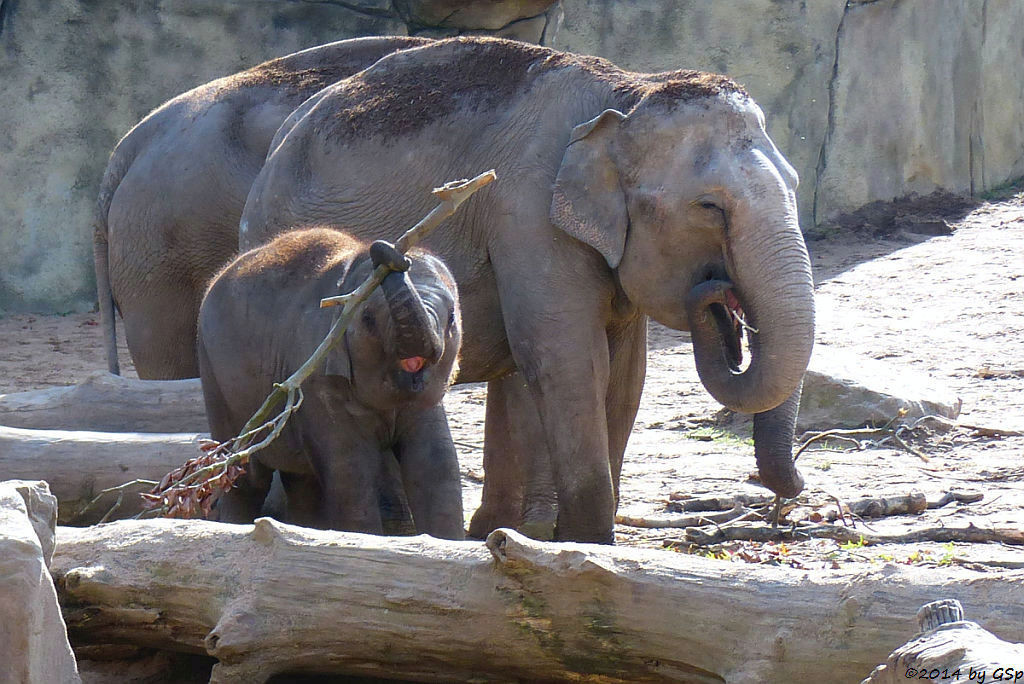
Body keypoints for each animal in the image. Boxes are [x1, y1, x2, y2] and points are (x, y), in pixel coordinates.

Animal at [196, 229, 468, 540]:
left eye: (451, 318)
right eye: (368, 319)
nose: (389, 252)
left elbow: (436, 463)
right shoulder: (317, 379)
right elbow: (350, 473)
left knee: (301, 481)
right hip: (215, 378)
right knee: (245, 475)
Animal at [239, 37, 815, 540]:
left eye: (795, 185)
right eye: (709, 207)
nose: (719, 294)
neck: (628, 92)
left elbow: (626, 377)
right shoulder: (528, 215)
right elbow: (568, 361)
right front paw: (587, 544)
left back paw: (486, 530)